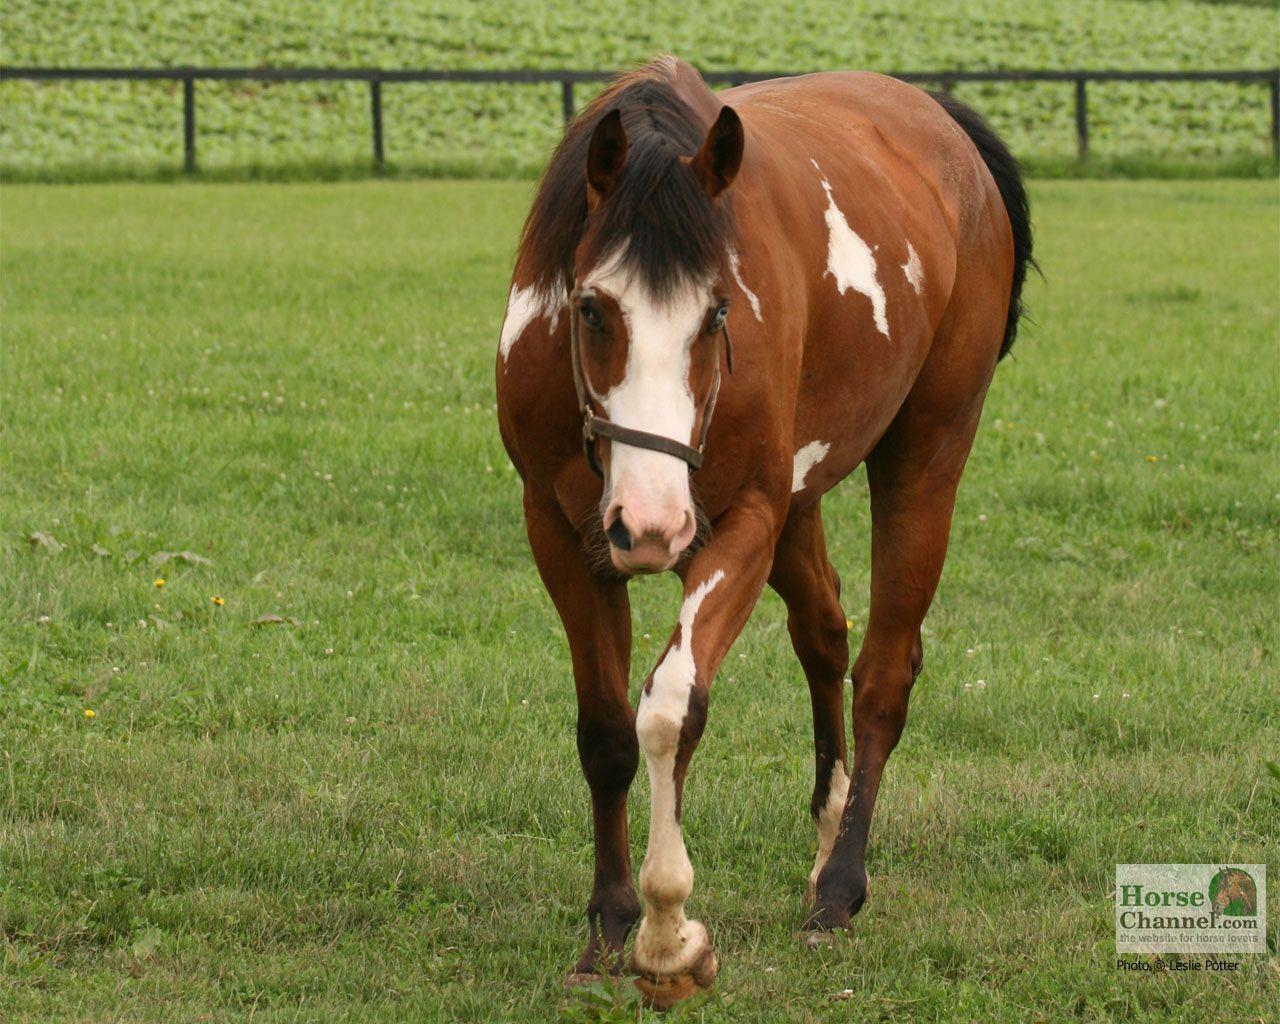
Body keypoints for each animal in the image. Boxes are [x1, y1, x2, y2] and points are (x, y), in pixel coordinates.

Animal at [496, 55, 1033, 1008]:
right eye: (592, 309)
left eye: (717, 313)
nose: (653, 523)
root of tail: (940, 123)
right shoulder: (560, 536)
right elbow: (606, 733)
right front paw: (609, 922)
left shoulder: (741, 525)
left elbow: (672, 710)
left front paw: (669, 936)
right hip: (799, 504)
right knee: (825, 634)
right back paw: (828, 831)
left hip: (925, 455)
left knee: (882, 673)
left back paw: (840, 886)